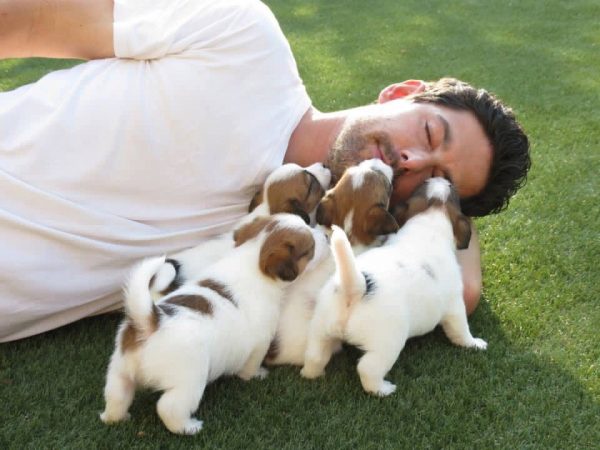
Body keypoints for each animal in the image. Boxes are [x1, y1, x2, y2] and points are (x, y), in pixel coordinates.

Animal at [100, 213, 328, 434]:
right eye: (310, 248)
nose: (326, 236)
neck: (251, 256)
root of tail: (150, 322)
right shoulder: (260, 343)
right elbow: (251, 366)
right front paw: (256, 375)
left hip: (119, 370)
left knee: (116, 396)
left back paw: (114, 417)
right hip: (190, 380)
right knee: (169, 407)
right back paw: (188, 427)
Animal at [301, 177, 487, 396]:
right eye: (453, 189)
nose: (442, 179)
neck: (430, 220)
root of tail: (355, 288)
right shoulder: (455, 307)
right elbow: (462, 332)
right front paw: (474, 344)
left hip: (320, 328)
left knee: (315, 356)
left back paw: (313, 374)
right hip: (387, 343)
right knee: (367, 369)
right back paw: (384, 389)